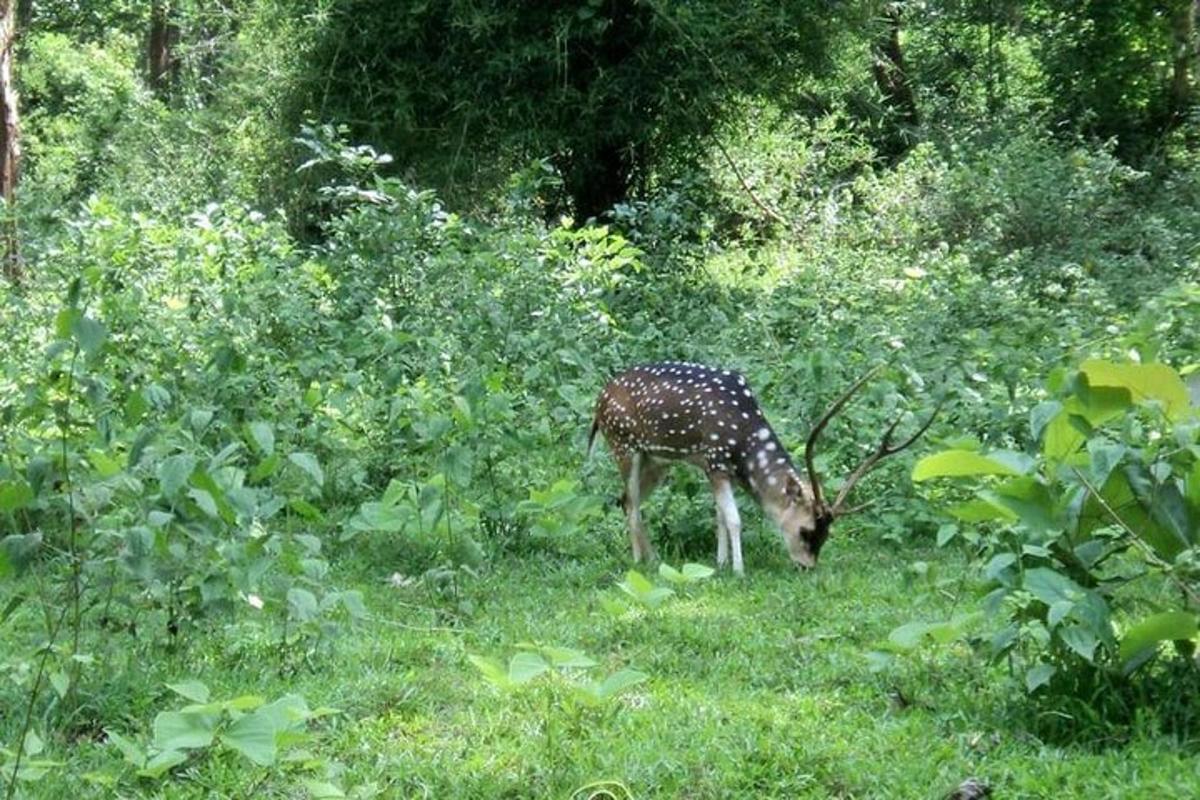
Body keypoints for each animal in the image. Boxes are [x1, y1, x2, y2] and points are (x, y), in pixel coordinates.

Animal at [588, 362, 936, 575]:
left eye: (827, 535)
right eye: (806, 530)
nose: (806, 566)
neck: (743, 443)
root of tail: (599, 400)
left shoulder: (713, 466)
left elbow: (719, 517)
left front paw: (719, 563)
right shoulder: (715, 459)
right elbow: (734, 518)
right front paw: (738, 571)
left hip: (656, 460)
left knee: (624, 500)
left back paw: (654, 558)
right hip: (624, 444)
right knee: (632, 504)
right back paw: (639, 562)